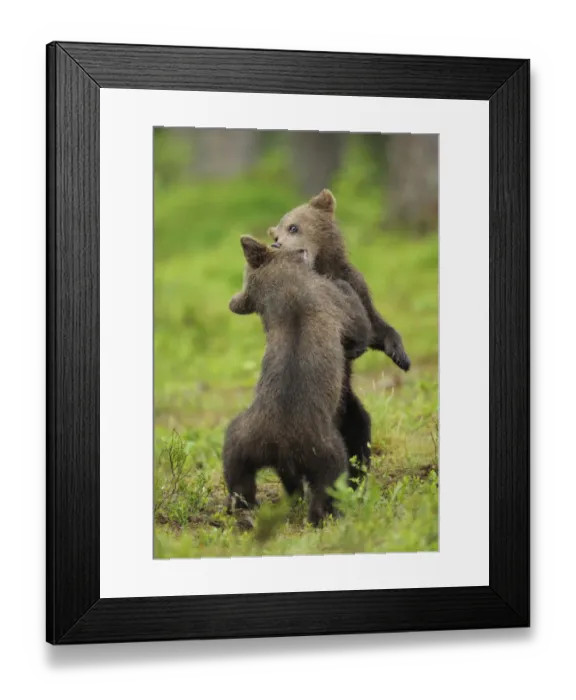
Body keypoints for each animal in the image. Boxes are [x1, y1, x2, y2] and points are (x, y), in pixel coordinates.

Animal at [224, 236, 371, 526]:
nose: (278, 241)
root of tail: (280, 446)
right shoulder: (336, 303)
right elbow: (358, 322)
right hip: (325, 448)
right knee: (328, 483)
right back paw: (326, 517)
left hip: (241, 439)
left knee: (239, 477)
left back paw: (244, 510)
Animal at [266, 189, 411, 485]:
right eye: (276, 236)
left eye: (293, 227)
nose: (277, 246)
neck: (323, 268)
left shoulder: (355, 284)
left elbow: (376, 325)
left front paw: (400, 354)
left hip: (348, 405)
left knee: (360, 431)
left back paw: (355, 480)